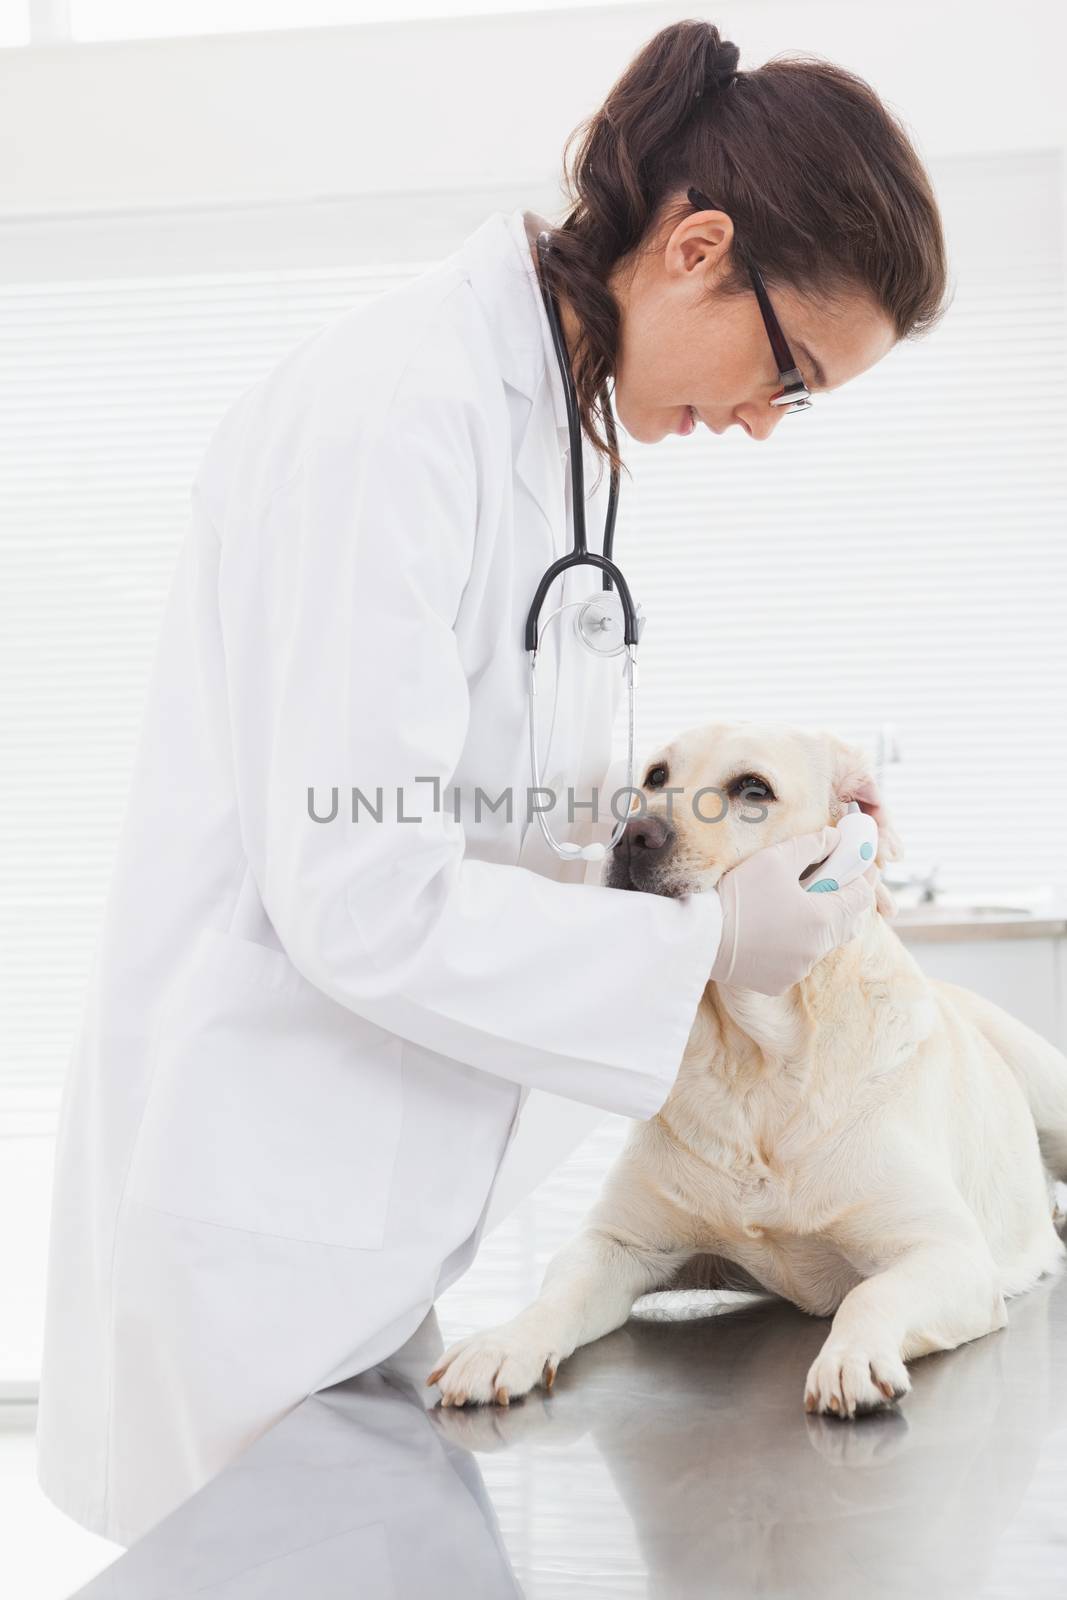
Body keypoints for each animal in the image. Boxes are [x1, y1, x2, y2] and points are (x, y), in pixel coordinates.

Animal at [428, 723, 1067, 1414]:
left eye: (753, 789)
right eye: (655, 776)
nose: (633, 835)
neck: (754, 1059)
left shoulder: (946, 1252)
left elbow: (873, 1293)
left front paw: (851, 1357)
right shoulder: (614, 1245)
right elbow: (555, 1294)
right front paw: (501, 1344)